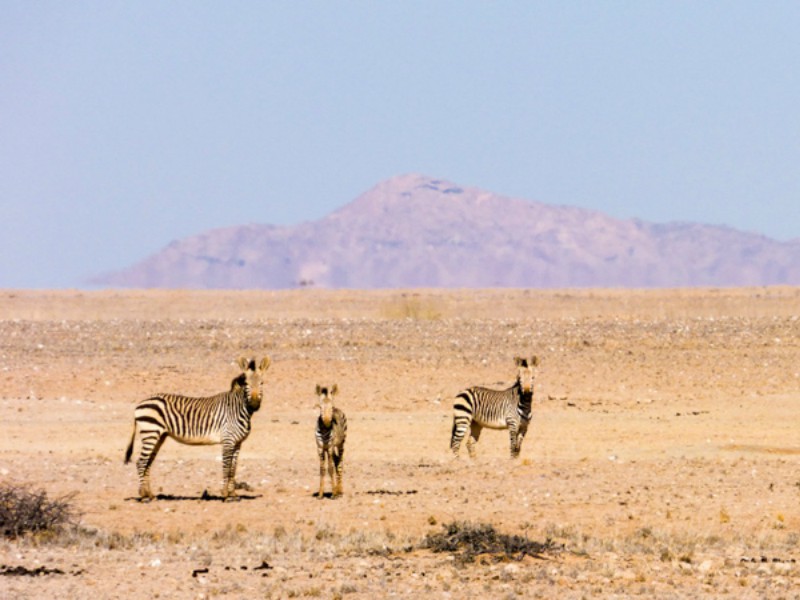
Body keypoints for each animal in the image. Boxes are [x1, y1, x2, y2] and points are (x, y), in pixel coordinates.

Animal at [124, 356, 271, 501]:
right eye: (246, 384)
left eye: (262, 383)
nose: (254, 404)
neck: (238, 409)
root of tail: (141, 403)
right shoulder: (228, 440)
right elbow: (226, 465)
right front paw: (225, 494)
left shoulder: (237, 443)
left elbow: (233, 468)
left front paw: (233, 494)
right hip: (150, 433)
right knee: (141, 462)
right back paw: (143, 495)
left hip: (159, 436)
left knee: (148, 463)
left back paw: (150, 494)